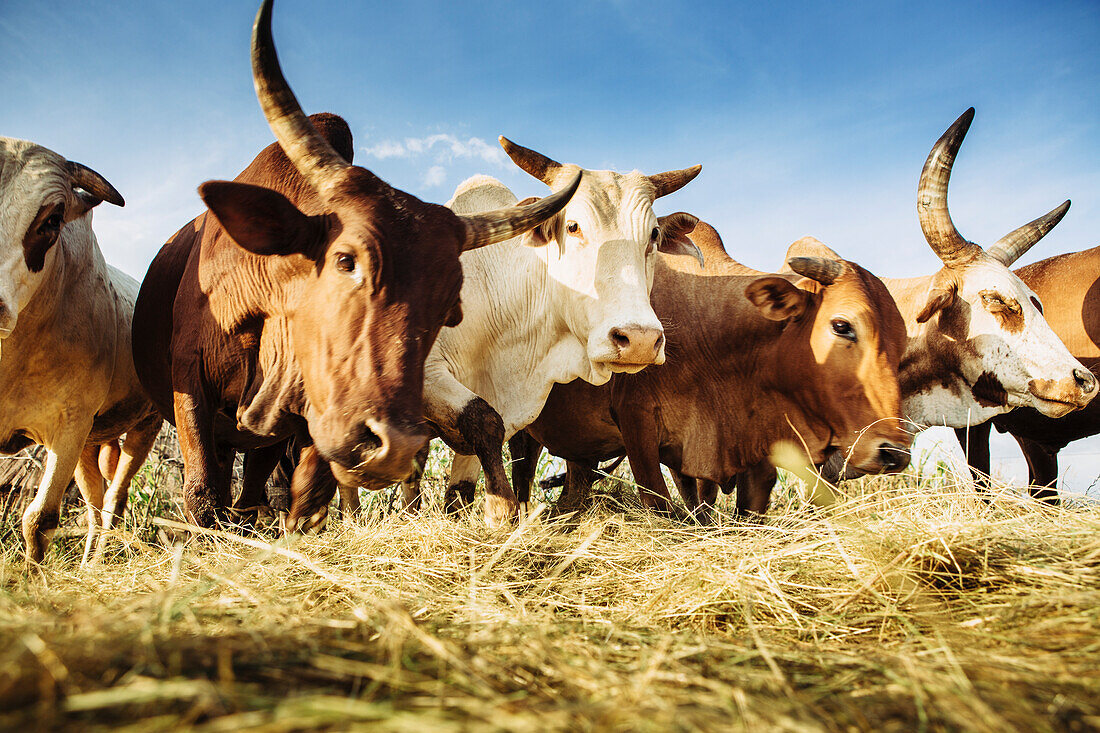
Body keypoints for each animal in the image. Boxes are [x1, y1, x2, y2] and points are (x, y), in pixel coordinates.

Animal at [0, 135, 161, 559]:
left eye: (53, 220)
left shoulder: (69, 425)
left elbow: (39, 521)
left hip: (144, 425)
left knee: (112, 501)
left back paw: (99, 560)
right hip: (92, 440)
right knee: (94, 504)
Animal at [133, 0, 580, 528]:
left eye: (450, 305)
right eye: (345, 260)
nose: (394, 446)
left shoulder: (309, 420)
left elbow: (307, 497)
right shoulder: (189, 383)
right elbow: (202, 495)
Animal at [347, 138, 699, 526]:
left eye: (653, 234)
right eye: (573, 226)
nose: (638, 340)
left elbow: (464, 481)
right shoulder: (426, 375)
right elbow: (483, 421)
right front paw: (502, 509)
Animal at [510, 211, 906, 519]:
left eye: (902, 341)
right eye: (842, 326)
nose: (894, 452)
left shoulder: (751, 448)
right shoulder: (637, 422)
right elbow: (662, 505)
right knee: (521, 471)